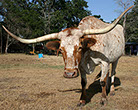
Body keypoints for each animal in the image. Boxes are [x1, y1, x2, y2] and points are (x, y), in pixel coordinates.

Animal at [2, 5, 134, 106]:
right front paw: (82, 100)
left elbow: (102, 81)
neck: (88, 52)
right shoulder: (80, 66)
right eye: (61, 49)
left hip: (116, 59)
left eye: (79, 47)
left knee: (112, 73)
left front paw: (103, 99)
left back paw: (111, 91)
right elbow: (84, 82)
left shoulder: (104, 62)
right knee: (107, 75)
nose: (69, 74)